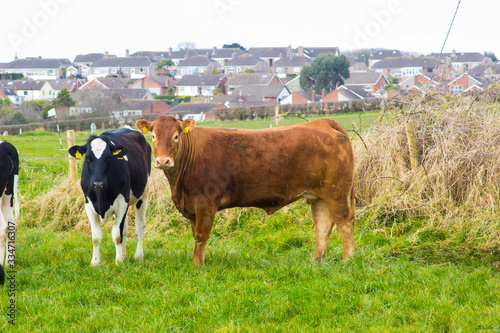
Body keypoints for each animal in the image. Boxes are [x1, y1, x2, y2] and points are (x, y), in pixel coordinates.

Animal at [69, 126, 150, 266]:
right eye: (88, 158)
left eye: (108, 158)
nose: (98, 183)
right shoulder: (89, 205)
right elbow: (96, 237)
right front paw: (95, 262)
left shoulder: (122, 203)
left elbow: (117, 235)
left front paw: (118, 261)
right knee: (125, 229)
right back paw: (124, 254)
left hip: (143, 195)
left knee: (139, 226)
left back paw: (138, 255)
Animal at [137, 115, 356, 264]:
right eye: (153, 136)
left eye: (176, 136)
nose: (162, 161)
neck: (179, 186)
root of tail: (322, 122)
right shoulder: (192, 205)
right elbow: (195, 235)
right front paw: (196, 260)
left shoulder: (205, 202)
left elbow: (201, 235)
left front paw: (198, 264)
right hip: (319, 196)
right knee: (323, 225)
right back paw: (317, 260)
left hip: (336, 192)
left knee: (344, 222)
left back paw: (348, 260)